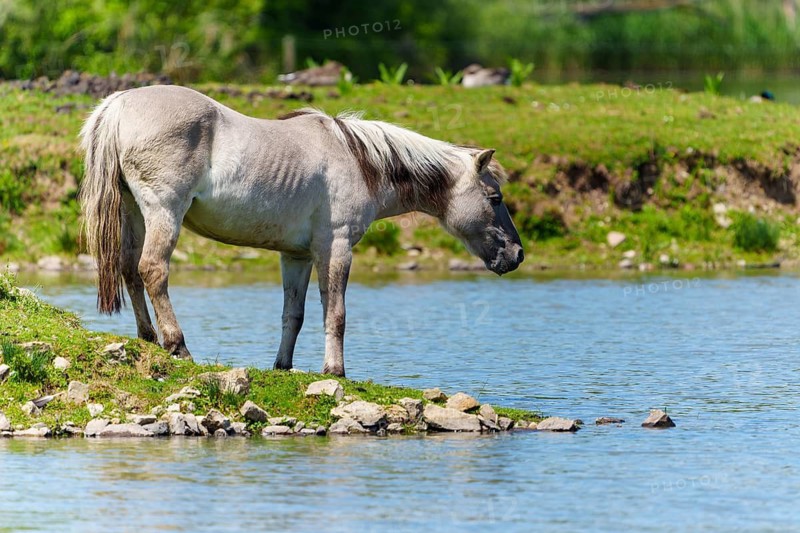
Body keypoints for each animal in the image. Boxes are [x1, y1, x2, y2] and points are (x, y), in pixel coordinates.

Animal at [79, 85, 523, 376]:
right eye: (495, 198)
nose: (516, 255)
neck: (359, 160)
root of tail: (118, 104)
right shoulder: (337, 247)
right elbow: (336, 313)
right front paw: (335, 371)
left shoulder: (297, 256)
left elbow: (293, 314)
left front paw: (282, 366)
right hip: (163, 212)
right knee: (153, 270)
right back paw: (178, 346)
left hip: (135, 213)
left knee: (130, 270)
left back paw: (148, 339)